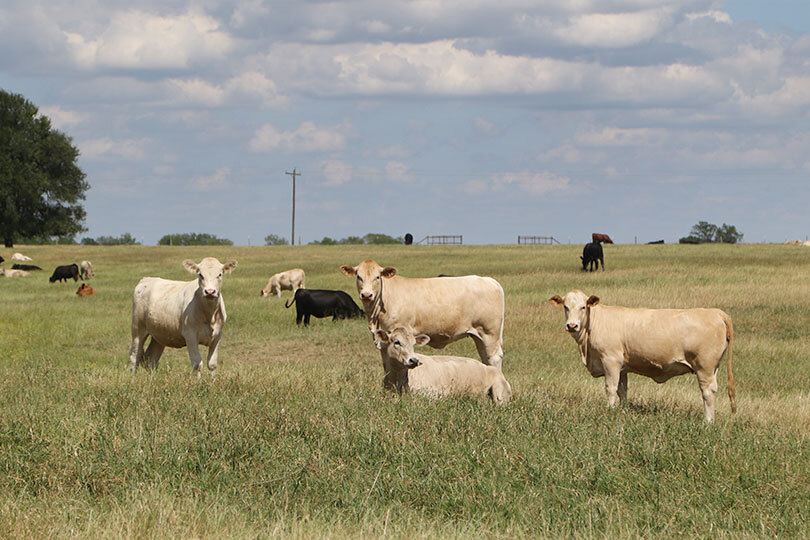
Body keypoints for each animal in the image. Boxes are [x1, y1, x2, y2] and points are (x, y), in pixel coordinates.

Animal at [340, 259, 505, 388]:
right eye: (359, 276)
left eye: (377, 277)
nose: (366, 295)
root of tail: (489, 280)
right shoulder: (382, 340)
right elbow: (387, 362)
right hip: (479, 336)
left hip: (489, 334)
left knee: (494, 358)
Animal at [548, 290, 735, 423]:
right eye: (565, 307)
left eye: (583, 307)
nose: (572, 325)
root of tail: (717, 313)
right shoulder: (622, 367)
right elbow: (622, 390)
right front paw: (622, 410)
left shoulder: (610, 360)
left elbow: (610, 388)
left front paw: (610, 410)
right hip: (713, 367)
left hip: (705, 366)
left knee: (708, 392)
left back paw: (708, 421)